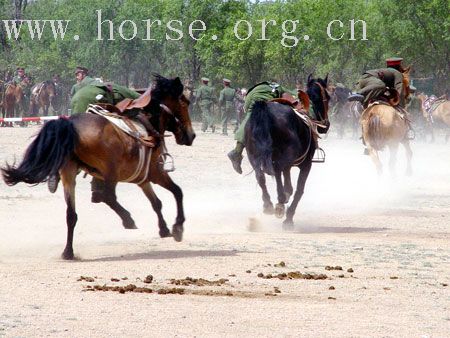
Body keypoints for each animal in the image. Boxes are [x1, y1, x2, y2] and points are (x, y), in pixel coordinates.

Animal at [2, 75, 195, 258]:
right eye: (184, 102)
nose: (191, 135)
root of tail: (70, 125)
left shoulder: (142, 178)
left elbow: (157, 203)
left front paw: (164, 229)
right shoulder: (156, 172)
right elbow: (177, 192)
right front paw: (177, 227)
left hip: (69, 175)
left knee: (71, 214)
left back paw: (68, 251)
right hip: (111, 173)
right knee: (108, 196)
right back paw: (128, 220)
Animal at [244, 75, 328, 228]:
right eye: (328, 96)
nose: (326, 125)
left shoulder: (288, 164)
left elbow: (288, 184)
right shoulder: (306, 165)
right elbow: (299, 190)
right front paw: (289, 218)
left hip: (253, 155)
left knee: (260, 176)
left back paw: (268, 205)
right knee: (275, 171)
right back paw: (280, 201)